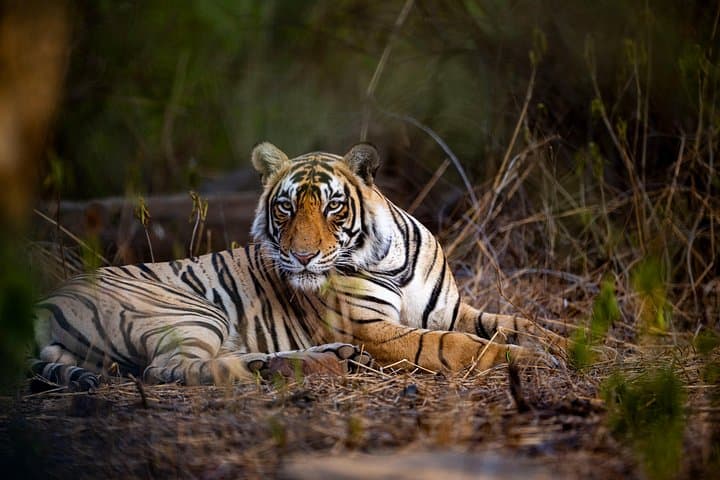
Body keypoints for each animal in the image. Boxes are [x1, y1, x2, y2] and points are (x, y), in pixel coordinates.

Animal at [31, 142, 567, 390]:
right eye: (285, 207)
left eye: (333, 207)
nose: (303, 256)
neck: (390, 257)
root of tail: (46, 299)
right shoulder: (376, 329)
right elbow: (455, 346)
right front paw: (533, 361)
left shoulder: (451, 309)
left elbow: (519, 321)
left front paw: (570, 343)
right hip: (188, 311)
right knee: (169, 368)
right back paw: (281, 368)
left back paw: (330, 360)